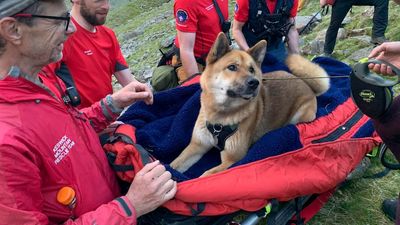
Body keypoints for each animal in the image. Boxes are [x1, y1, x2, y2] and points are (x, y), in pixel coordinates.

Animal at [170, 32, 330, 177]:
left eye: (252, 69)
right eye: (232, 67)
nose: (254, 82)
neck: (220, 116)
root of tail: (306, 84)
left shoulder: (231, 160)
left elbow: (205, 175)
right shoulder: (197, 146)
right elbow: (174, 164)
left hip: (301, 116)